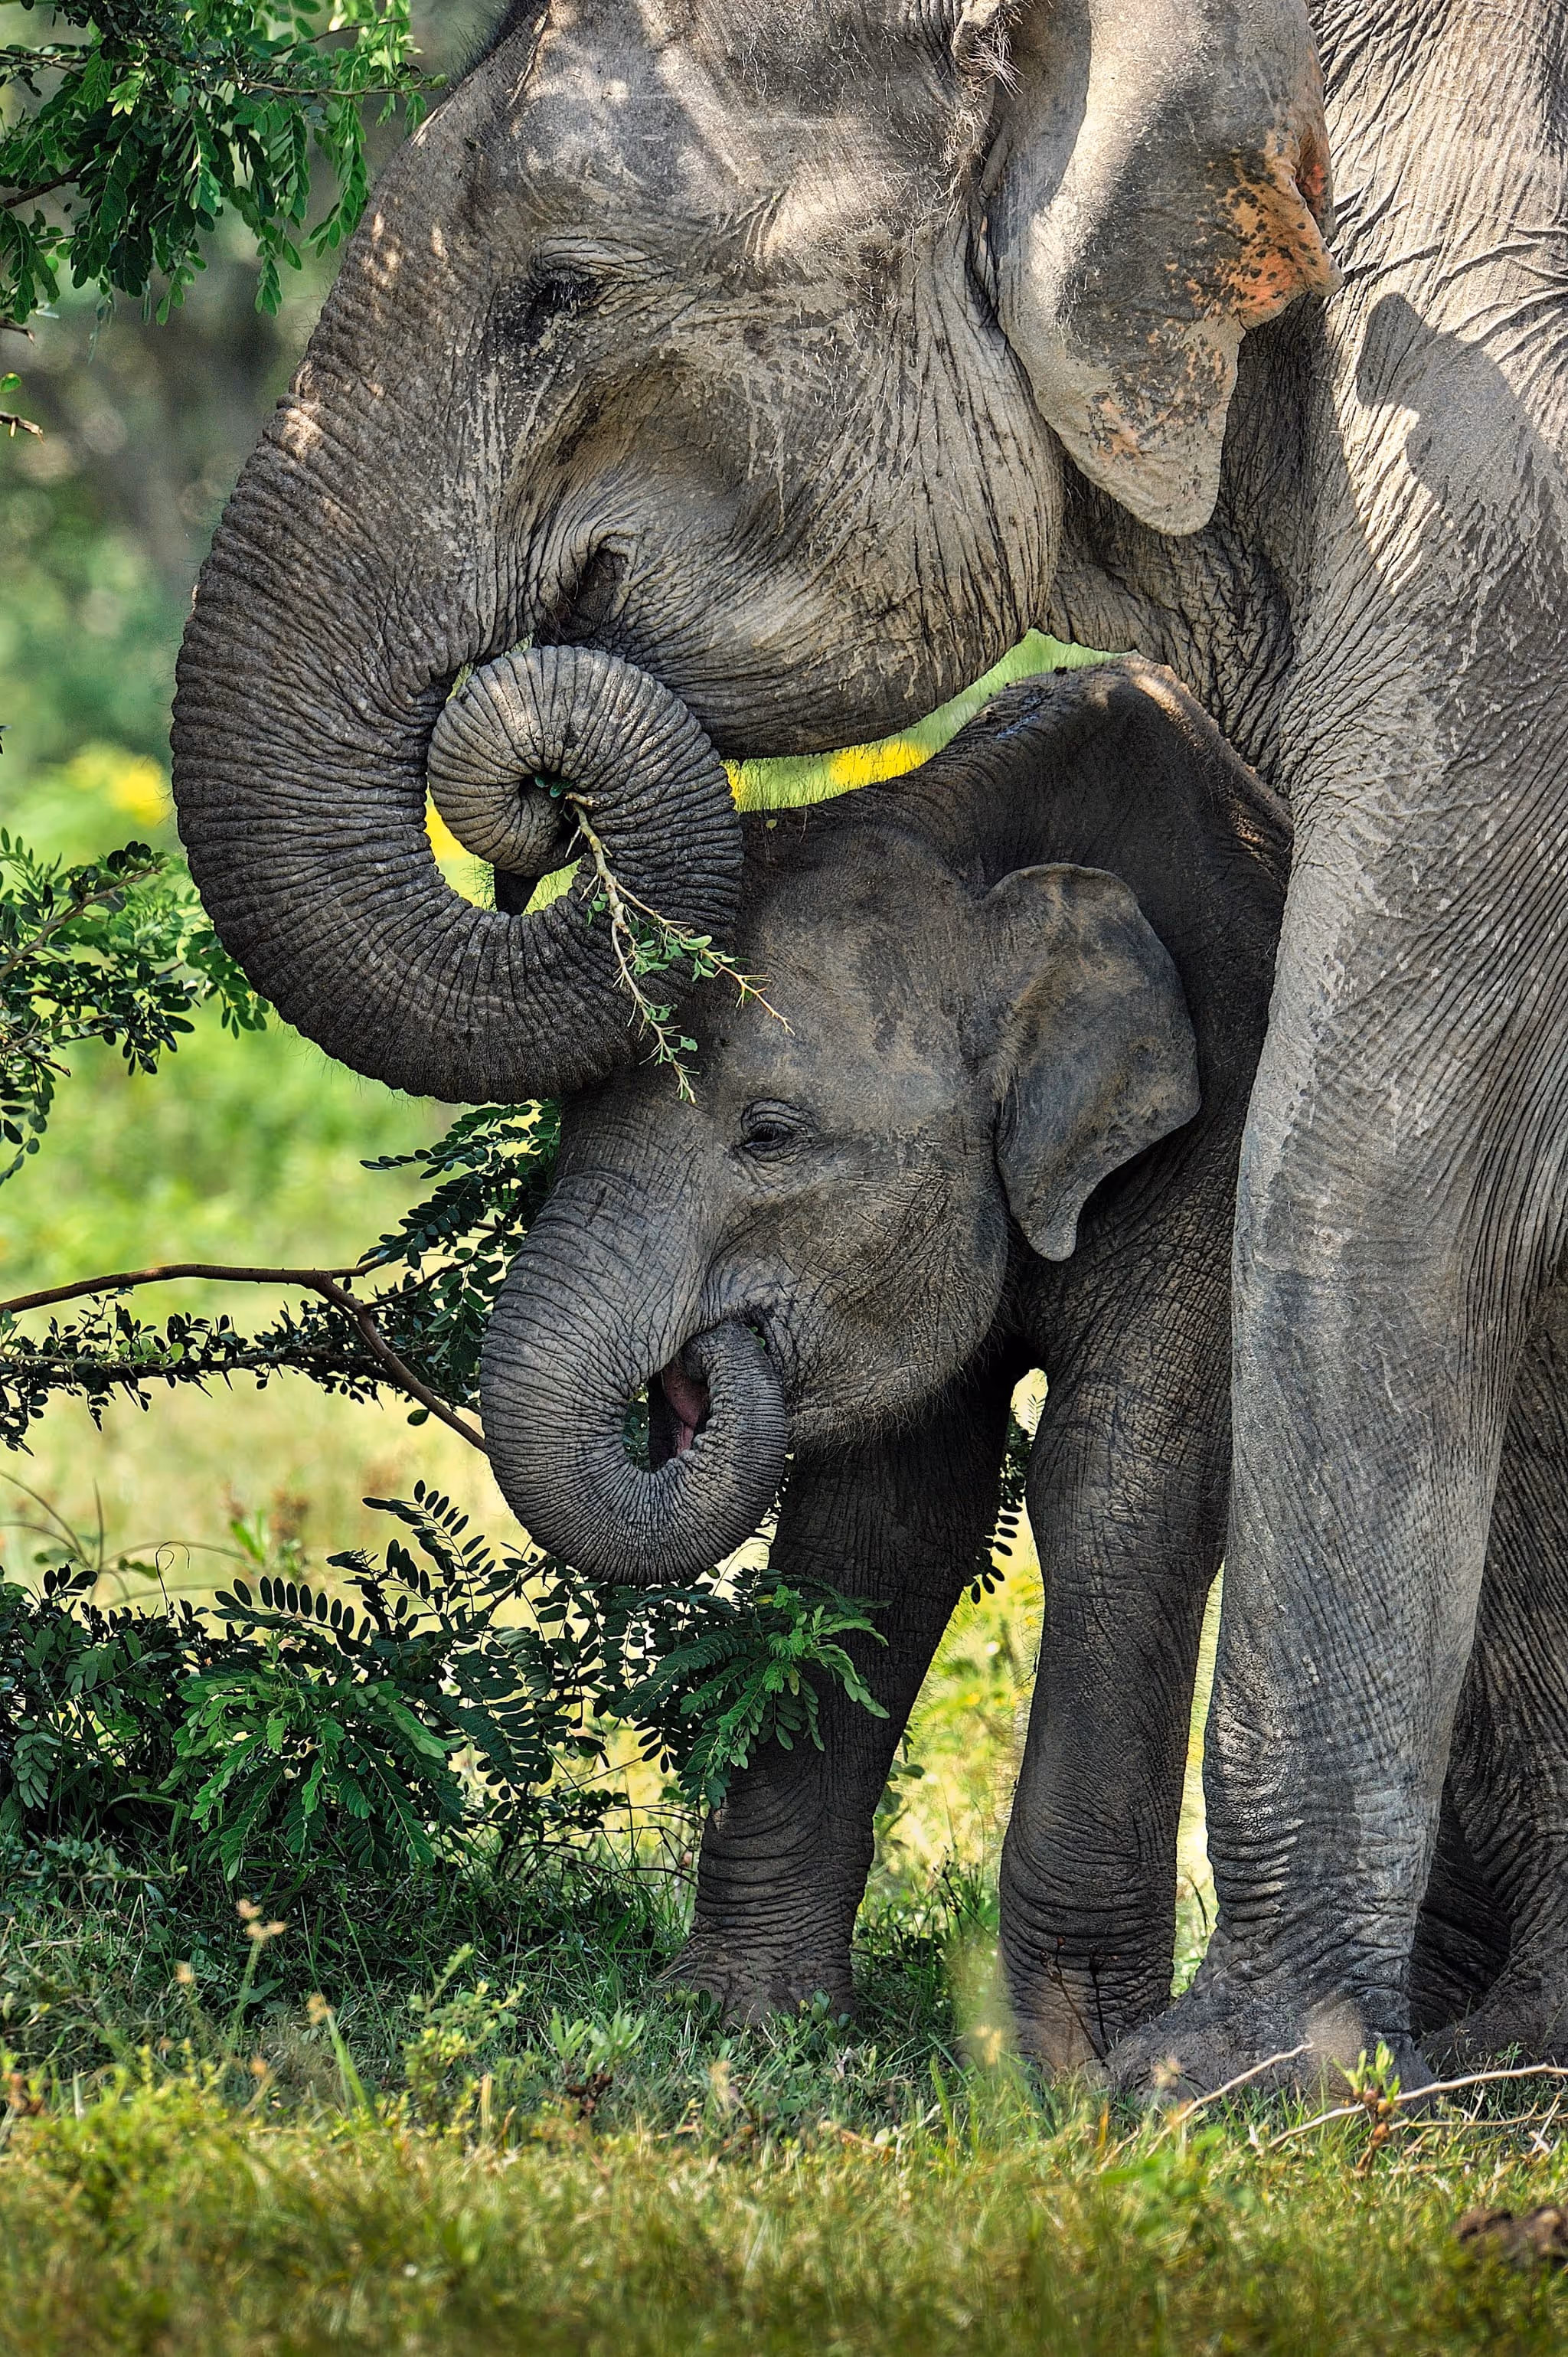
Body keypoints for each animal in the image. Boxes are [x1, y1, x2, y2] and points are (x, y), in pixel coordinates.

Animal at [170, 0, 1568, 2087]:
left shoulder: (1492, 510)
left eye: (560, 292)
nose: (533, 785)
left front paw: (1195, 2090)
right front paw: (754, 2043)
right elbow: (881, 1514)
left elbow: (1329, 1198)